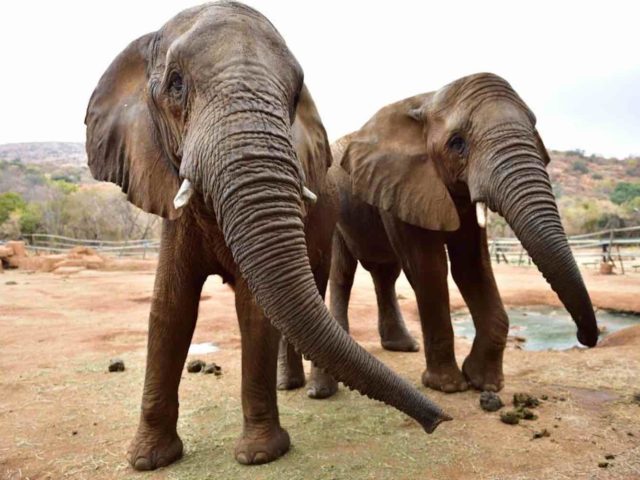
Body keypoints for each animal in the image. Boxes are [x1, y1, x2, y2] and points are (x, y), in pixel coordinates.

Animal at [84, 1, 449, 470]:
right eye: (176, 84)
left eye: (294, 96)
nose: (440, 420)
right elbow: (169, 309)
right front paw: (148, 460)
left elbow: (255, 310)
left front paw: (260, 455)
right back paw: (287, 387)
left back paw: (311, 390)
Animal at [277, 72, 599, 399]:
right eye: (457, 143)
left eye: (534, 131)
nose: (585, 337)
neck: (427, 101)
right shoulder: (402, 182)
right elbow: (428, 269)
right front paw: (448, 386)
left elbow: (472, 267)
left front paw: (485, 382)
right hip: (337, 209)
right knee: (344, 272)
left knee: (385, 274)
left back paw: (403, 346)